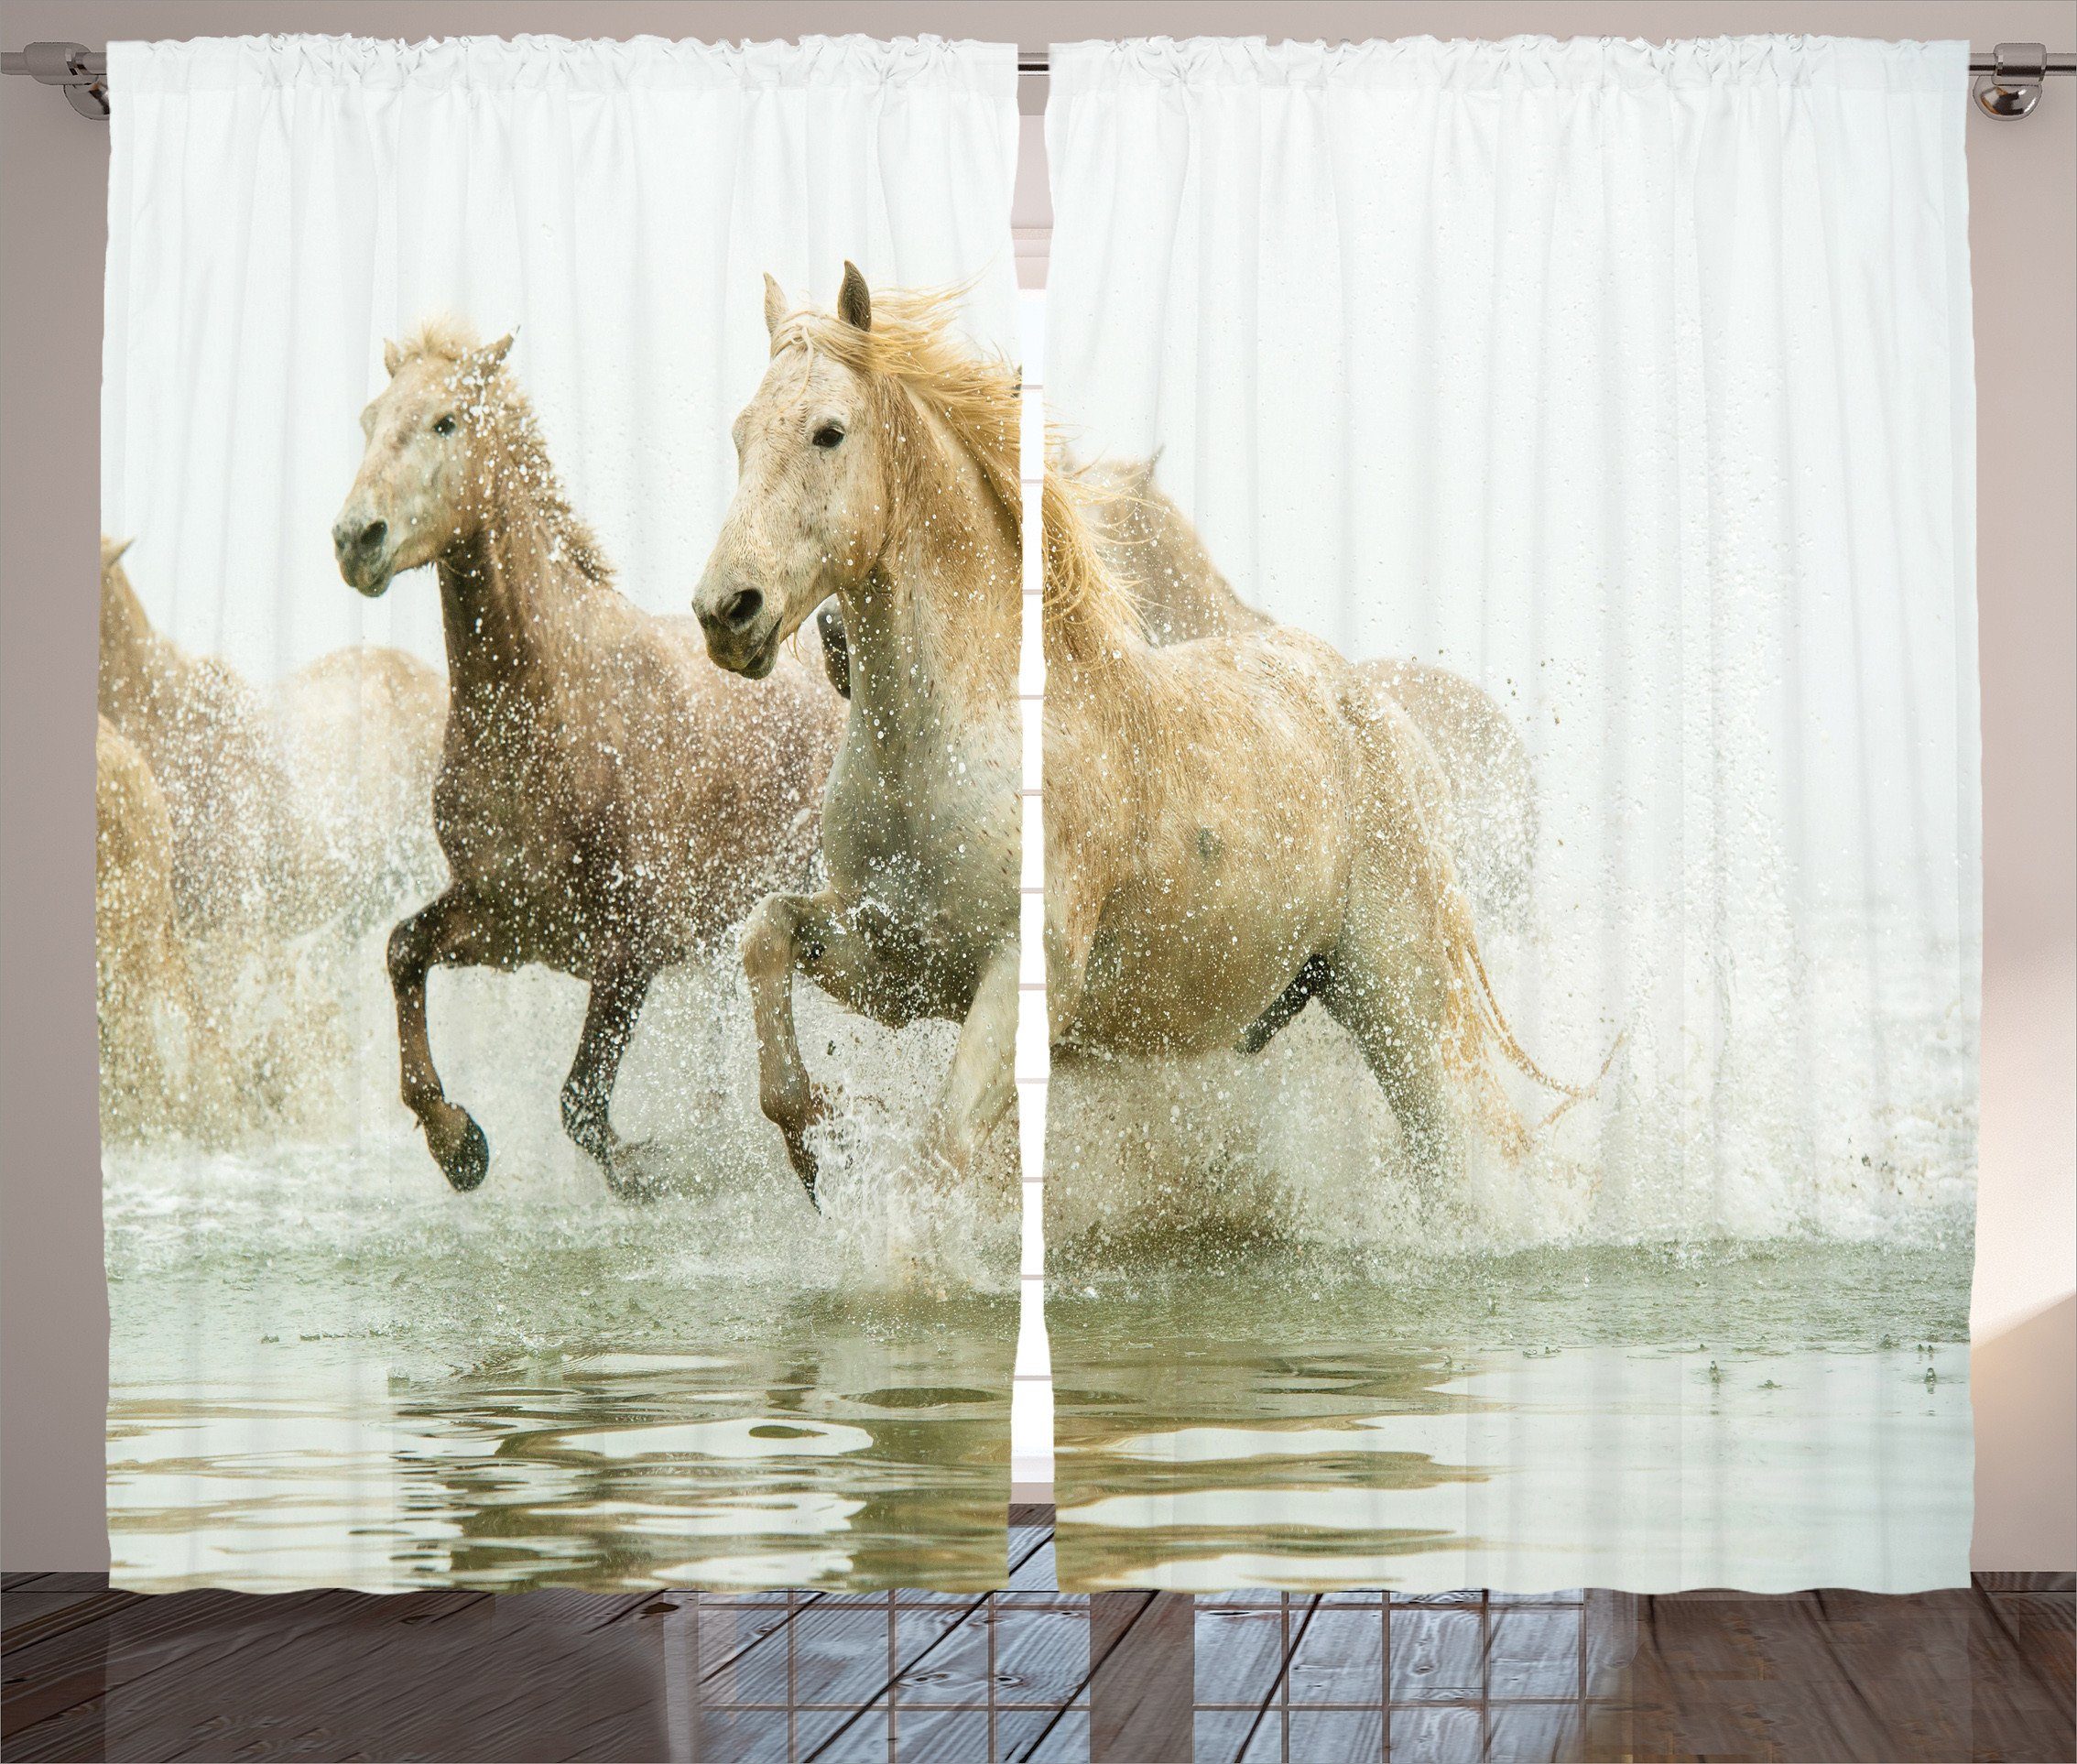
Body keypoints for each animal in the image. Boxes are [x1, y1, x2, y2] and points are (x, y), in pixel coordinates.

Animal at [336, 320, 839, 1196]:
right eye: (370, 420)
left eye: (445, 421)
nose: (355, 539)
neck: (551, 714)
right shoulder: (510, 921)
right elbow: (403, 951)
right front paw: (458, 1143)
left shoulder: (630, 948)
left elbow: (581, 1103)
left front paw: (655, 1173)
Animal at [689, 265, 1561, 1196]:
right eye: (739, 435)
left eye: (829, 432)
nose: (727, 612)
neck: (942, 747)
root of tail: (1383, 721)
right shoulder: (901, 963)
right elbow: (767, 935)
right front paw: (814, 1141)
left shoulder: (1020, 981)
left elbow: (940, 1155)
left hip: (1404, 1010)